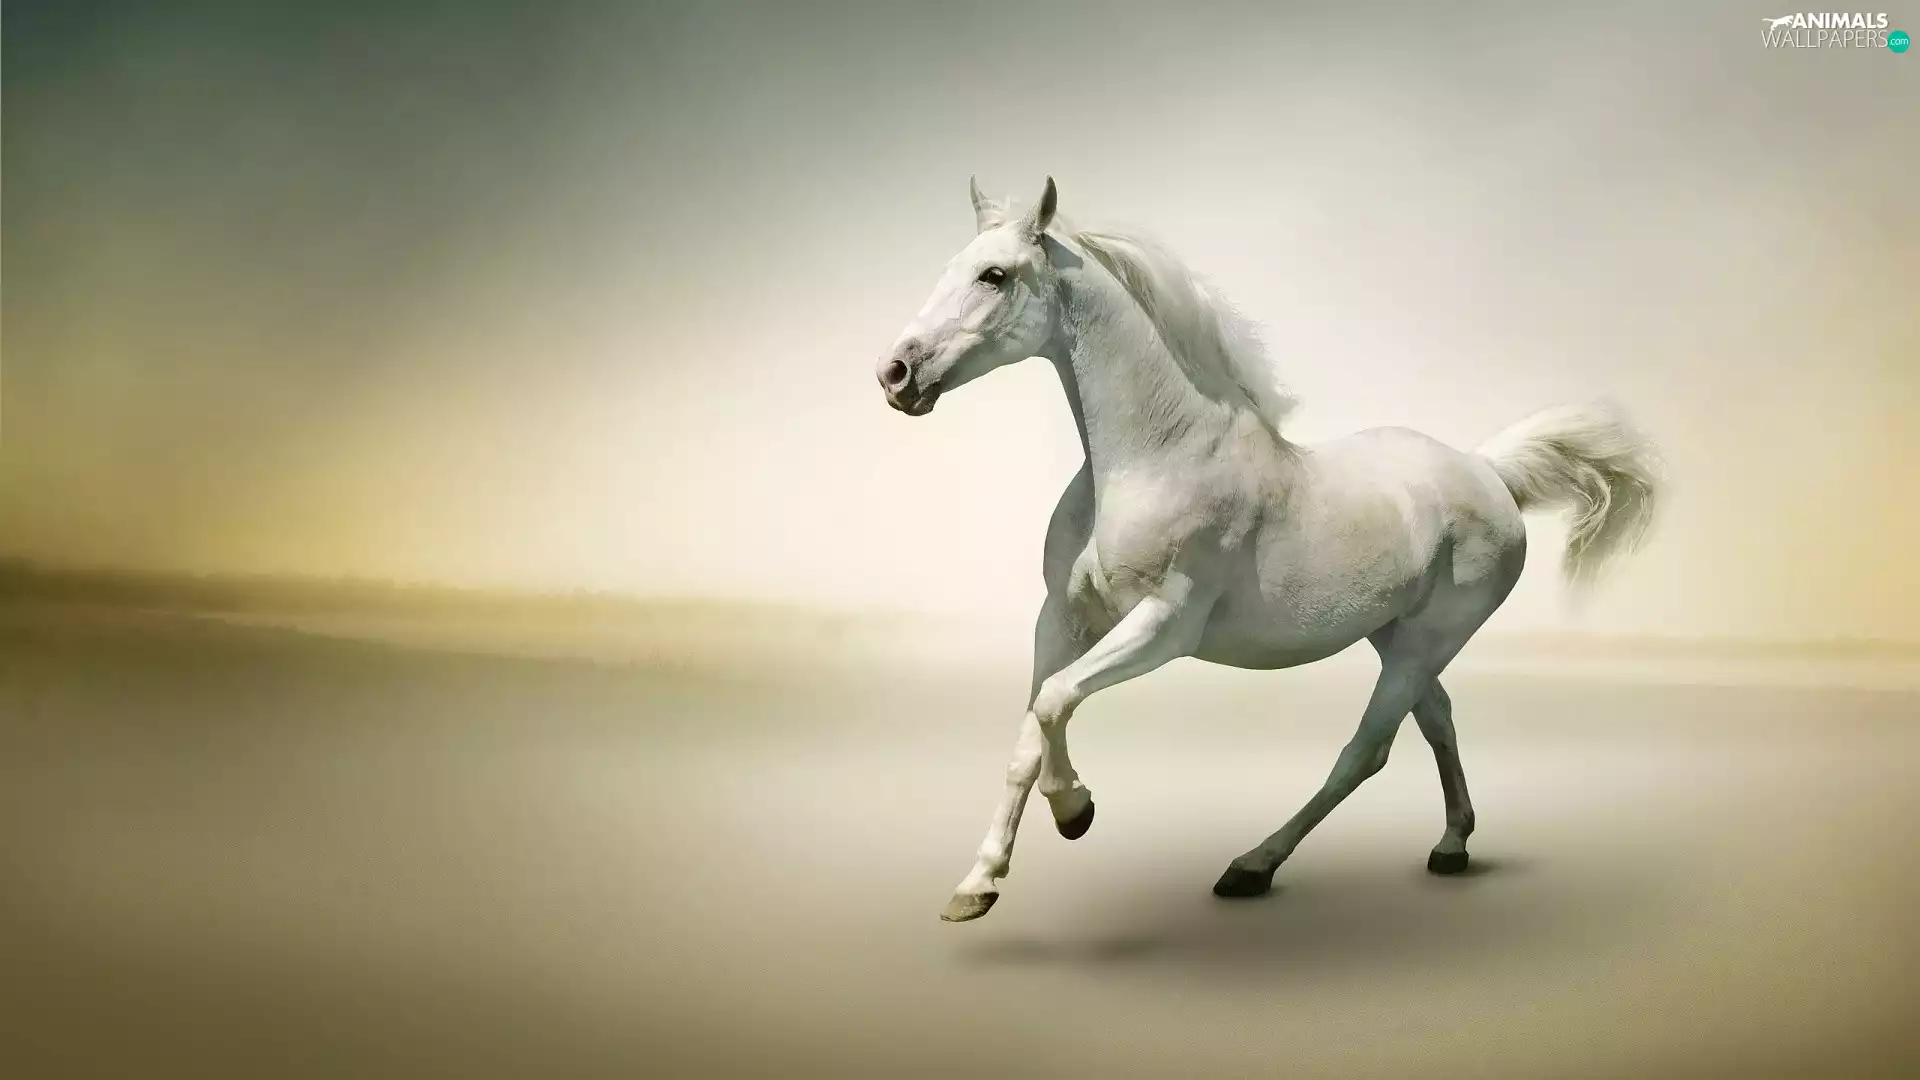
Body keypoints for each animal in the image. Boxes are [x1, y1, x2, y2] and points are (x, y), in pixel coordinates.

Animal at [875, 176, 1661, 923]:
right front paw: (976, 885)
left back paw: (1252, 866)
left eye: (994, 275)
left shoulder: (1164, 627)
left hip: (1426, 641)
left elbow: (1055, 702)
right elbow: (1031, 729)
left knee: (1366, 750)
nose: (896, 374)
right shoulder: (1063, 617)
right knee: (1437, 718)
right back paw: (1452, 845)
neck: (1153, 459)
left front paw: (1076, 812)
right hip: (1393, 634)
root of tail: (1488, 472)